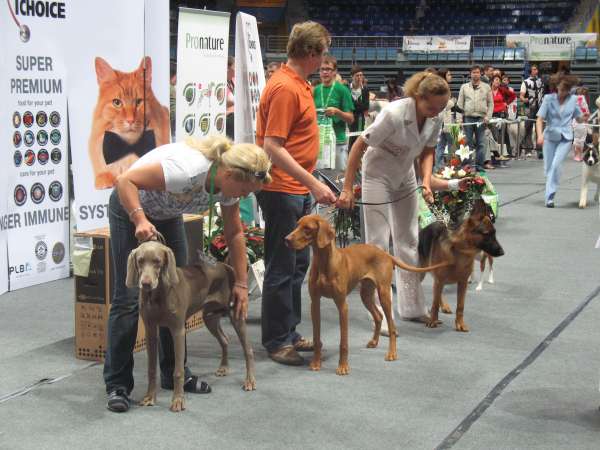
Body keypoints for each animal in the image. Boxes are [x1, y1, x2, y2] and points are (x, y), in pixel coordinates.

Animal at [126, 240, 256, 412]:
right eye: (140, 261)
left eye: (157, 261)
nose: (145, 284)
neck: (158, 294)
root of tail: (225, 265)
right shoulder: (150, 330)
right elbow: (151, 368)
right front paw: (149, 397)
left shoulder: (178, 331)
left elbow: (178, 371)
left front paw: (178, 400)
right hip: (209, 317)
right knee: (225, 339)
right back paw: (224, 367)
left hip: (236, 315)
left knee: (248, 350)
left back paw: (250, 380)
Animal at [285, 214, 447, 376]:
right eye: (297, 225)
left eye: (307, 228)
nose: (286, 239)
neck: (324, 262)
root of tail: (386, 253)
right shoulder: (315, 303)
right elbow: (316, 337)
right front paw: (316, 363)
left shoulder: (342, 305)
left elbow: (344, 342)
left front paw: (343, 367)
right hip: (366, 294)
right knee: (378, 317)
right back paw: (374, 342)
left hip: (383, 294)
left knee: (391, 326)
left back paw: (392, 353)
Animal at [418, 200, 504, 332]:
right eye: (487, 234)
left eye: (495, 233)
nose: (502, 252)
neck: (460, 251)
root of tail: (422, 230)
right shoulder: (440, 280)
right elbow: (434, 304)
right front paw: (433, 320)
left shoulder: (462, 283)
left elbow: (460, 306)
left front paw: (460, 324)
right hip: (421, 273)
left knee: (438, 294)